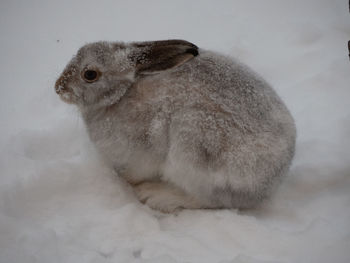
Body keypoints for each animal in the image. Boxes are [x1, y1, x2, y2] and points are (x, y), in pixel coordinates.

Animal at [54, 39, 296, 212]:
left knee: (207, 199)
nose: (58, 87)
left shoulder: (144, 152)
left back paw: (156, 195)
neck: (121, 94)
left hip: (192, 145)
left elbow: (137, 170)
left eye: (90, 74)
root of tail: (273, 181)